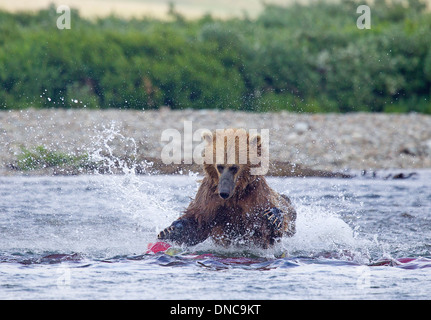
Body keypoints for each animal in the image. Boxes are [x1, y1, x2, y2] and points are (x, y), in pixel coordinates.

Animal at [159, 127, 296, 248]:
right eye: (220, 166)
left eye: (234, 167)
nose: (224, 192)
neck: (235, 194)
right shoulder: (210, 198)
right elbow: (198, 222)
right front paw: (170, 231)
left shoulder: (255, 197)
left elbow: (267, 231)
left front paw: (272, 216)